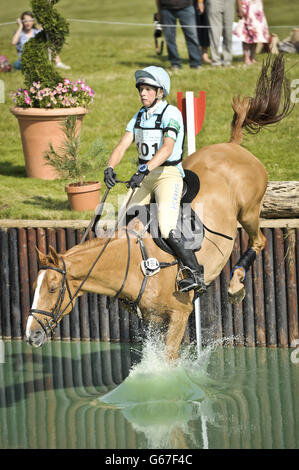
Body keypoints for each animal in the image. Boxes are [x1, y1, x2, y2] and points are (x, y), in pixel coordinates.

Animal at [25, 53, 292, 358]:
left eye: (53, 288)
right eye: (35, 287)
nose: (31, 335)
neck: (131, 262)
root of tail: (233, 145)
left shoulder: (180, 313)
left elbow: (168, 359)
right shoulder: (151, 319)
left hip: (248, 211)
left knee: (259, 240)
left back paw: (235, 286)